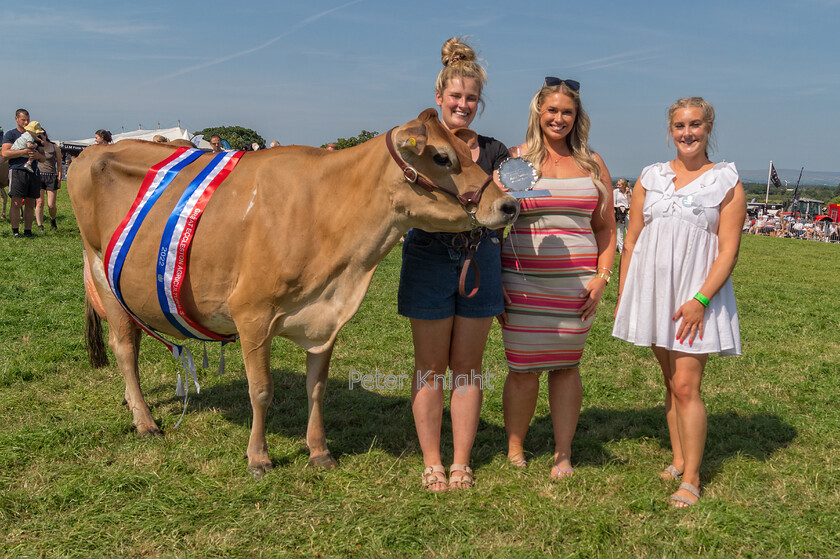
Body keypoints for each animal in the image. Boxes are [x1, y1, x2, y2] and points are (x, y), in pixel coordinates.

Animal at [69, 108, 520, 476]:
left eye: (467, 149)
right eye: (442, 157)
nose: (509, 205)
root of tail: (90, 153)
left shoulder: (327, 318)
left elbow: (316, 388)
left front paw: (319, 450)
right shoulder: (251, 312)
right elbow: (261, 390)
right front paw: (258, 457)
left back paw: (132, 404)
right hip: (104, 275)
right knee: (125, 348)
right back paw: (145, 421)